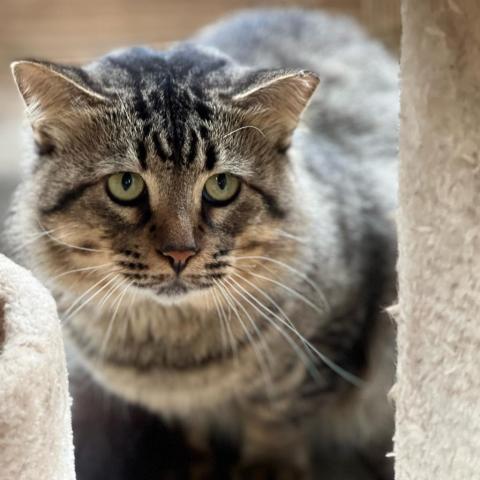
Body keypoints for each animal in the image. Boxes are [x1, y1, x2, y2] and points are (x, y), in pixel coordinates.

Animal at [5, 7, 400, 480]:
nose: (180, 252)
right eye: (125, 185)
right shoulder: (182, 405)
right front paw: (195, 465)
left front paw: (266, 468)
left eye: (221, 186)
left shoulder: (325, 344)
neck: (176, 359)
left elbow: (278, 418)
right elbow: (195, 430)